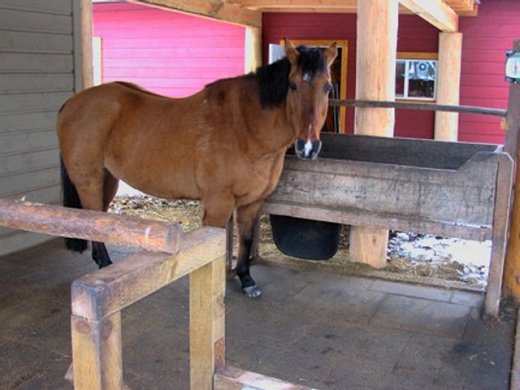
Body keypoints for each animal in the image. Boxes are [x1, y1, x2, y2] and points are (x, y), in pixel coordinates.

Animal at [55, 38, 338, 296]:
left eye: (327, 87)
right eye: (293, 85)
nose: (308, 147)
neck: (246, 126)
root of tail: (71, 104)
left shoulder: (253, 202)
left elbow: (245, 239)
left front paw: (246, 279)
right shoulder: (218, 203)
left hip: (108, 180)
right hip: (89, 181)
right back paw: (106, 266)